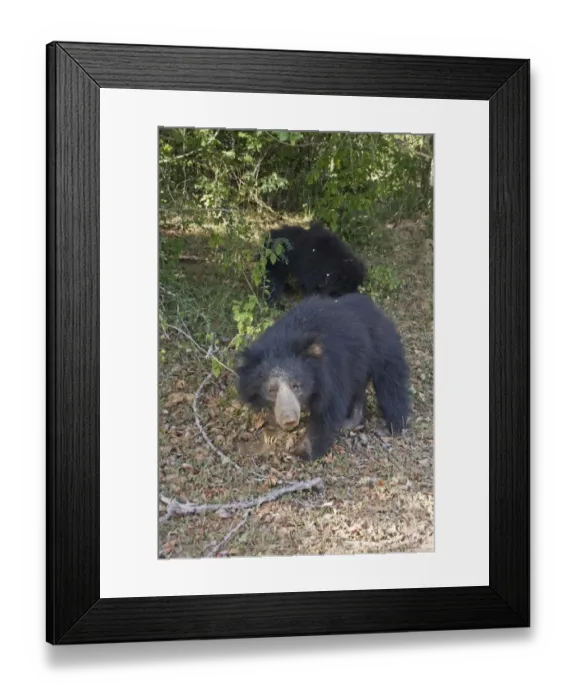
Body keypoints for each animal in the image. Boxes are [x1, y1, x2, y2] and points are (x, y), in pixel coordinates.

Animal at [235, 292, 410, 461]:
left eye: (296, 386)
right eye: (272, 390)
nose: (289, 419)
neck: (283, 342)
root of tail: (373, 306)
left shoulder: (331, 371)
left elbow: (327, 410)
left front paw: (303, 453)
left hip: (382, 346)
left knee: (391, 383)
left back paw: (393, 425)